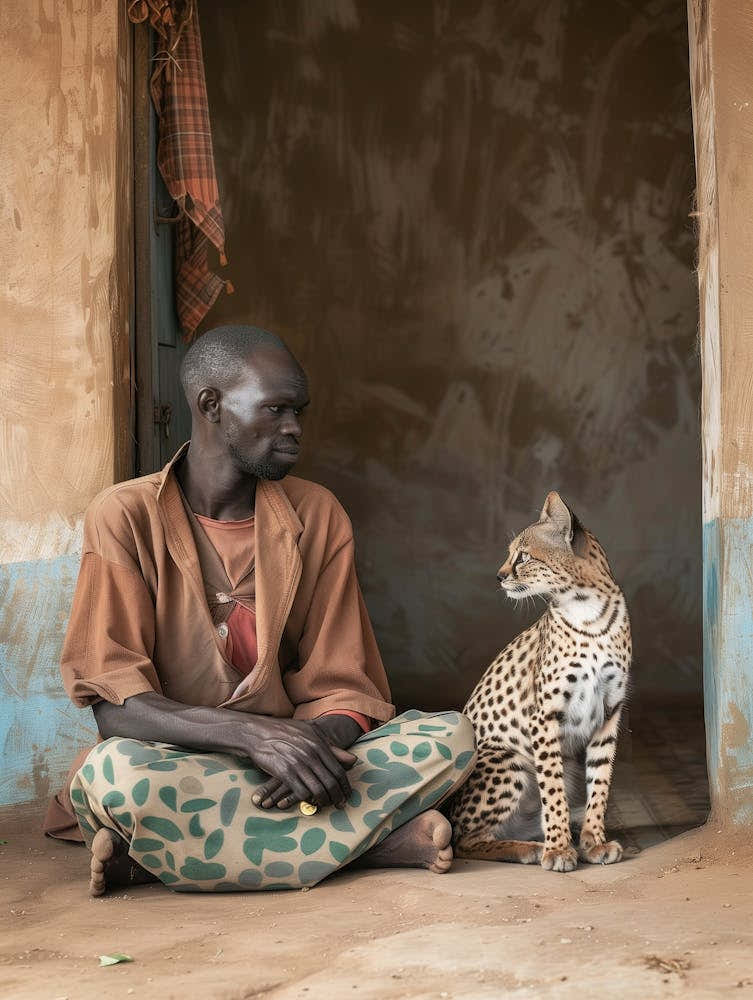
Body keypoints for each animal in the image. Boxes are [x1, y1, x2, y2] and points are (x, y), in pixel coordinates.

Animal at [450, 490, 631, 872]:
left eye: (523, 556)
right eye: (510, 554)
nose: (499, 576)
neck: (588, 609)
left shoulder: (609, 712)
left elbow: (600, 782)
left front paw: (593, 841)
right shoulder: (544, 716)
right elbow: (553, 788)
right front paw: (559, 848)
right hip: (508, 758)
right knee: (463, 840)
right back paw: (529, 848)